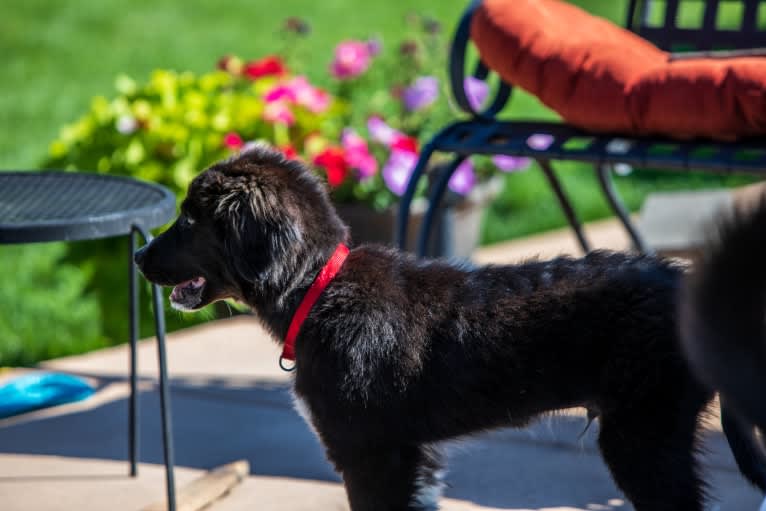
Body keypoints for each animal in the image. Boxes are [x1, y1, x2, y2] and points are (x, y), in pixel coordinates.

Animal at [135, 146, 764, 510]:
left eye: (189, 220)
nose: (138, 257)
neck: (319, 288)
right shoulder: (412, 457)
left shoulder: (372, 453)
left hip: (643, 433)